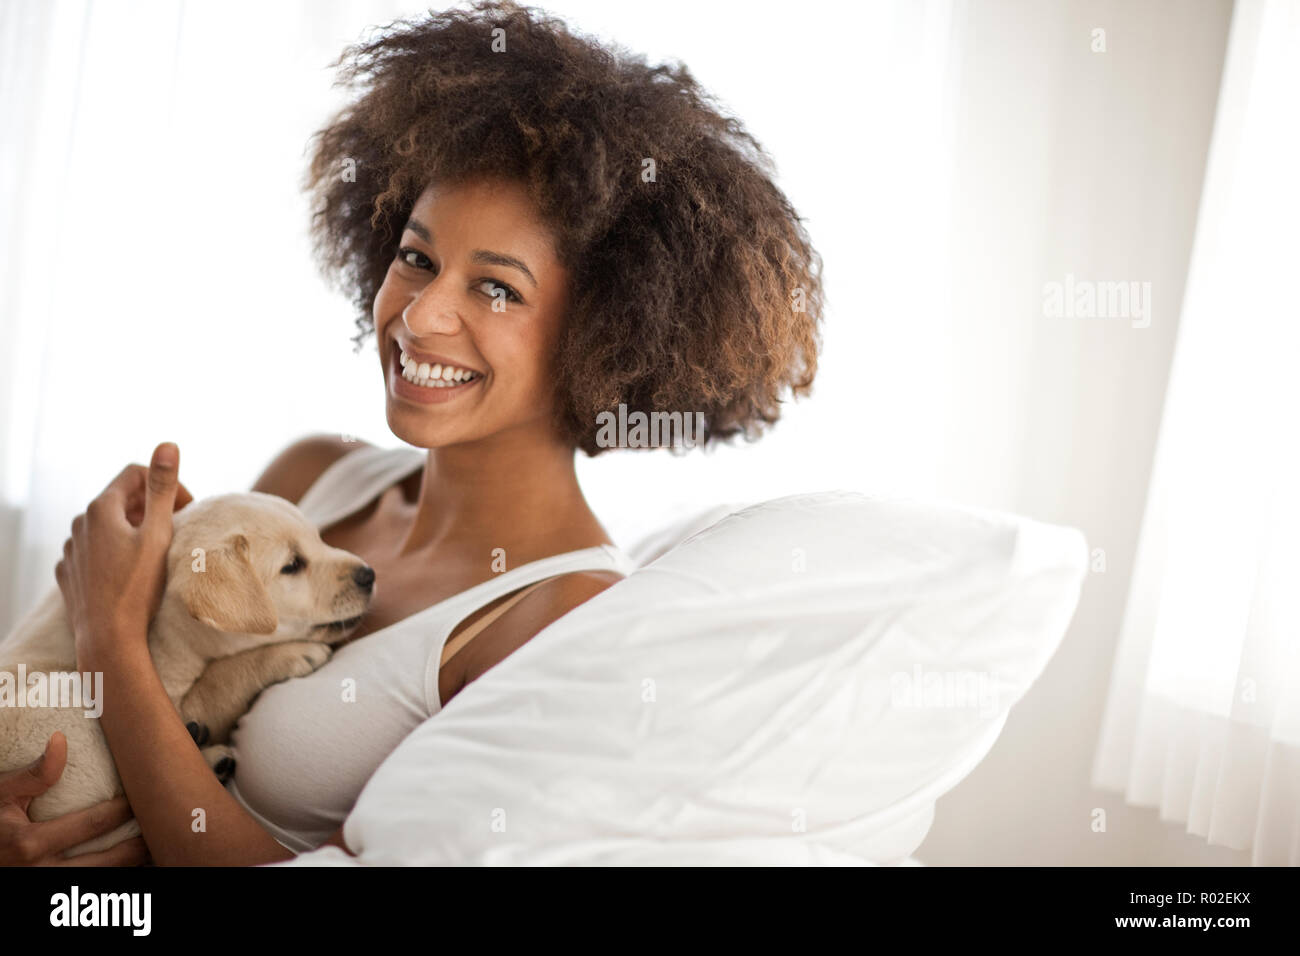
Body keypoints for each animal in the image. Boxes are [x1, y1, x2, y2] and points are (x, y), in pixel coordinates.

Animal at [1, 494, 377, 858]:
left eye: (319, 539)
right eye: (293, 566)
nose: (369, 574)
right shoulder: (162, 690)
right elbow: (219, 680)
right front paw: (287, 654)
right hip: (65, 703)